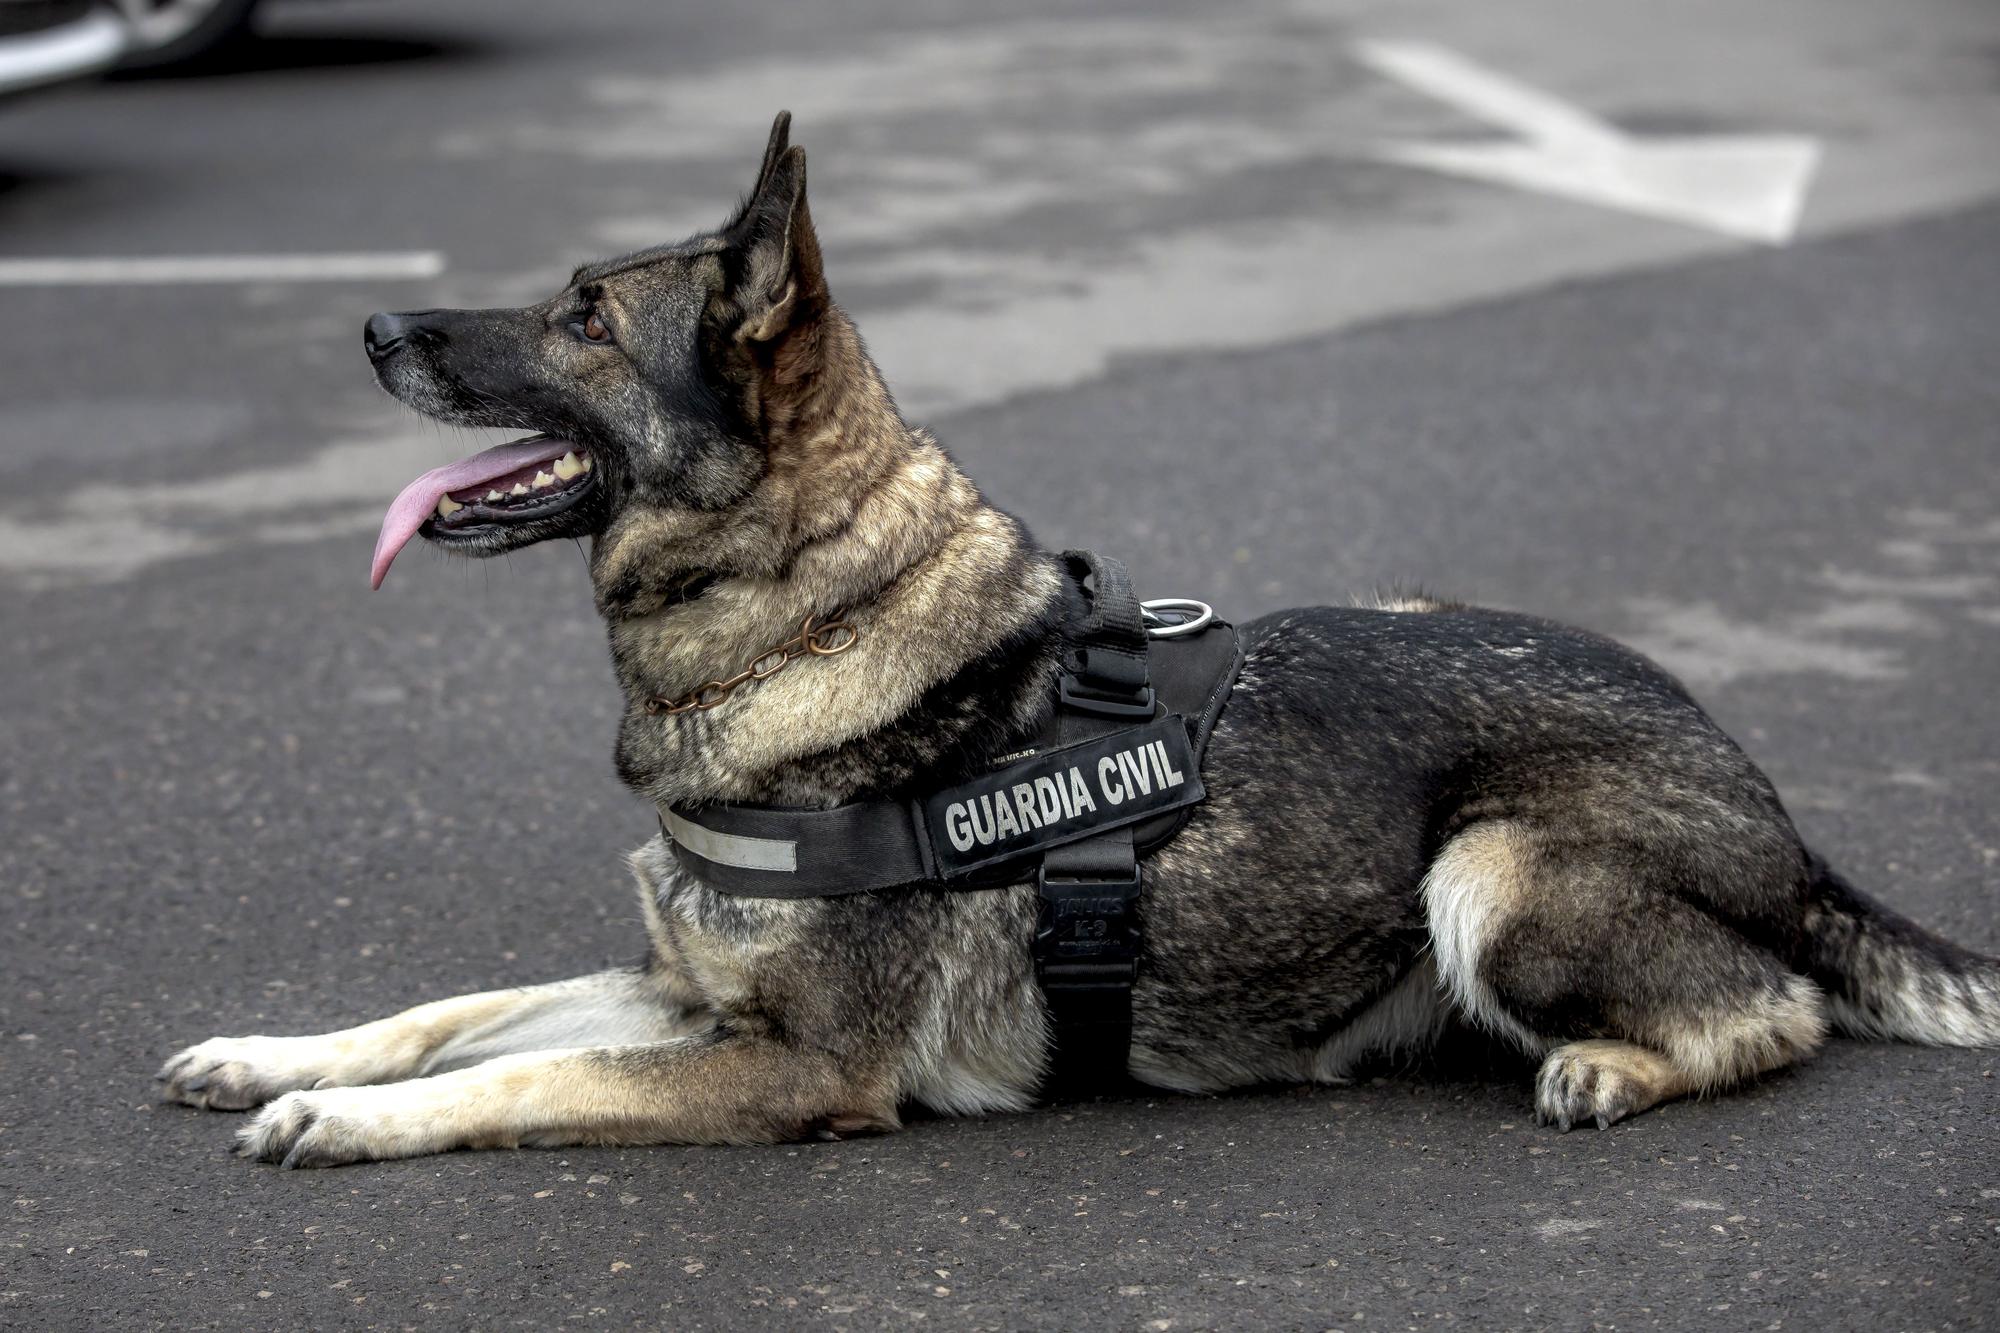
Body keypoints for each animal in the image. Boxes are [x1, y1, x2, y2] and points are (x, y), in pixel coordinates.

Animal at [160, 119, 2000, 1168]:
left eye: (585, 321)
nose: (376, 324)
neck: (803, 631)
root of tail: (1772, 810)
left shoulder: (798, 1067)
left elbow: (534, 1079)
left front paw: (342, 1118)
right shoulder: (682, 991)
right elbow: (456, 1009)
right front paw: (281, 1052)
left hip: (1485, 871)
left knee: (1776, 1010)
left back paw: (1614, 1068)